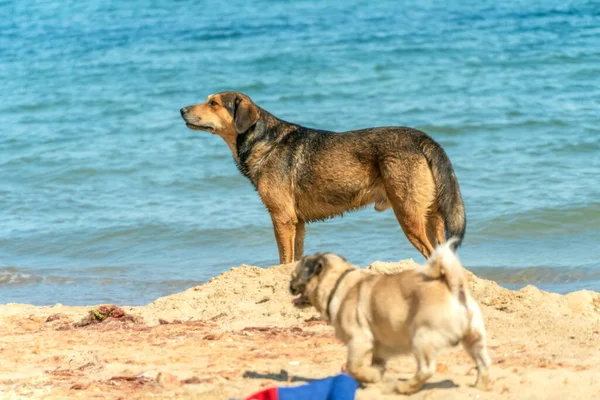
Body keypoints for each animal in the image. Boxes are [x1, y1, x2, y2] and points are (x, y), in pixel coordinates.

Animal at [180, 92, 466, 264]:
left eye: (213, 103)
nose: (182, 109)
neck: (263, 139)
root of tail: (424, 139)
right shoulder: (298, 223)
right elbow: (294, 259)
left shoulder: (281, 218)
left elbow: (284, 258)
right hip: (430, 217)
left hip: (409, 216)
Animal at [288, 241, 490, 394]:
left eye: (294, 276)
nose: (289, 285)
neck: (338, 282)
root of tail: (453, 288)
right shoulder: (379, 350)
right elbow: (376, 366)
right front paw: (373, 380)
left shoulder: (358, 341)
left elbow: (353, 367)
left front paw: (370, 377)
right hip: (473, 339)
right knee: (483, 363)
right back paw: (482, 386)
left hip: (422, 337)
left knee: (426, 369)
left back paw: (405, 387)